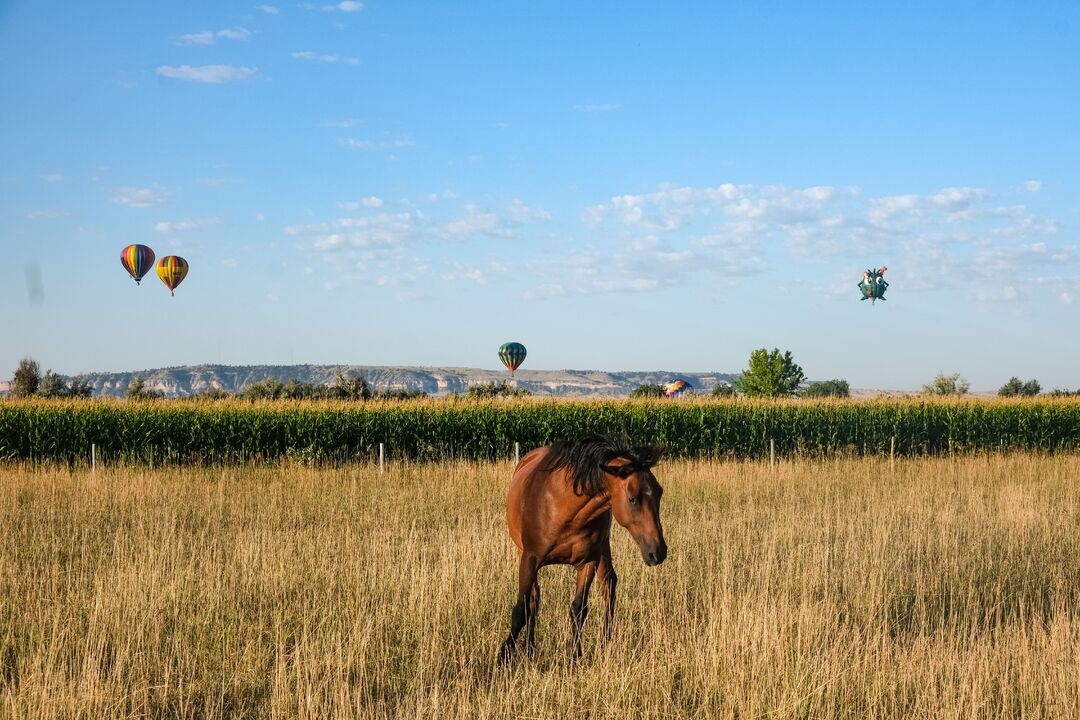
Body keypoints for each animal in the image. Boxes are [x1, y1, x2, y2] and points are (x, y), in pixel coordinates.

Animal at [498, 433, 665, 664]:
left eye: (660, 493)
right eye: (633, 499)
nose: (658, 552)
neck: (564, 510)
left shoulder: (588, 562)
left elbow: (578, 609)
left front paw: (574, 655)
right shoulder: (529, 559)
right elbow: (521, 609)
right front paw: (504, 656)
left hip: (603, 549)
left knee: (608, 585)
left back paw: (605, 642)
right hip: (523, 554)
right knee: (534, 598)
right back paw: (530, 647)